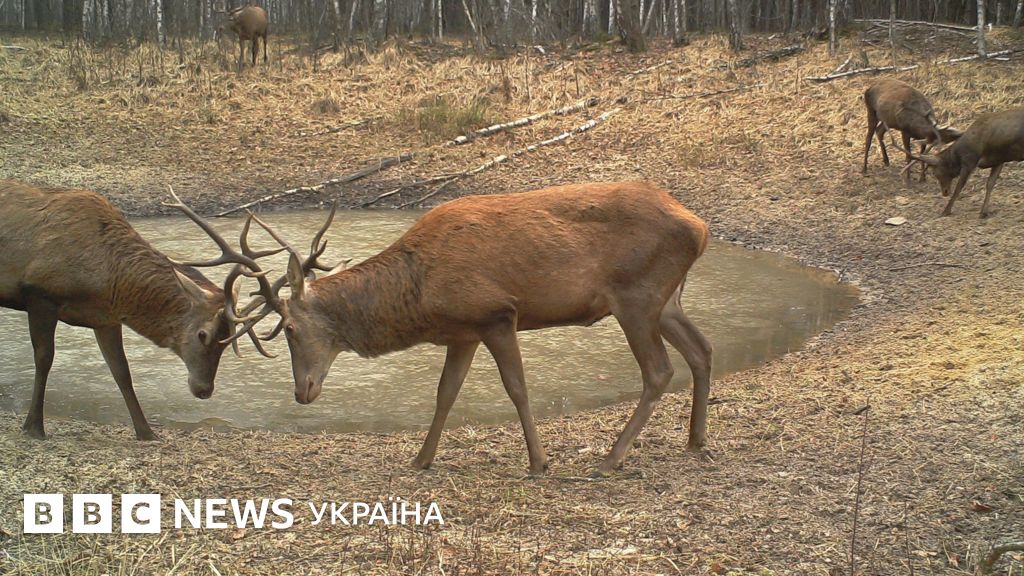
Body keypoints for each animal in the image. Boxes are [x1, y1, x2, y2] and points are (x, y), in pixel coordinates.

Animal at [0, 181, 275, 440]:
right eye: (202, 334)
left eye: (227, 341)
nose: (205, 390)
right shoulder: (39, 293)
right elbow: (44, 358)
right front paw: (34, 427)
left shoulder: (106, 318)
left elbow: (122, 371)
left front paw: (146, 432)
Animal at [186, 181, 714, 477]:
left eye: (291, 328)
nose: (303, 391)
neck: (421, 294)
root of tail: (702, 225)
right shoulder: (462, 332)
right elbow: (445, 393)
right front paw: (421, 459)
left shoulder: (495, 313)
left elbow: (517, 388)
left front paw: (539, 462)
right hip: (667, 300)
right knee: (702, 350)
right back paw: (695, 440)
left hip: (637, 295)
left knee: (659, 370)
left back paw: (610, 459)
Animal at [891, 108, 1024, 218]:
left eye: (935, 173)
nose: (944, 192)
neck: (958, 154)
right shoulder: (999, 159)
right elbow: (990, 184)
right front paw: (984, 212)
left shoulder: (969, 161)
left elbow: (958, 187)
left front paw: (945, 211)